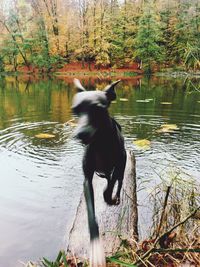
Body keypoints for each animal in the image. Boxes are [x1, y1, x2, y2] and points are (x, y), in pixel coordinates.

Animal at [72, 78, 126, 266]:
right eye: (75, 111)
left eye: (98, 109)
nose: (80, 134)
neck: (100, 144)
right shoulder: (87, 179)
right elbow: (90, 214)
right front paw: (95, 247)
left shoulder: (117, 167)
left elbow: (109, 188)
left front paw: (109, 197)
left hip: (122, 167)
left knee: (118, 183)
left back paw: (115, 197)